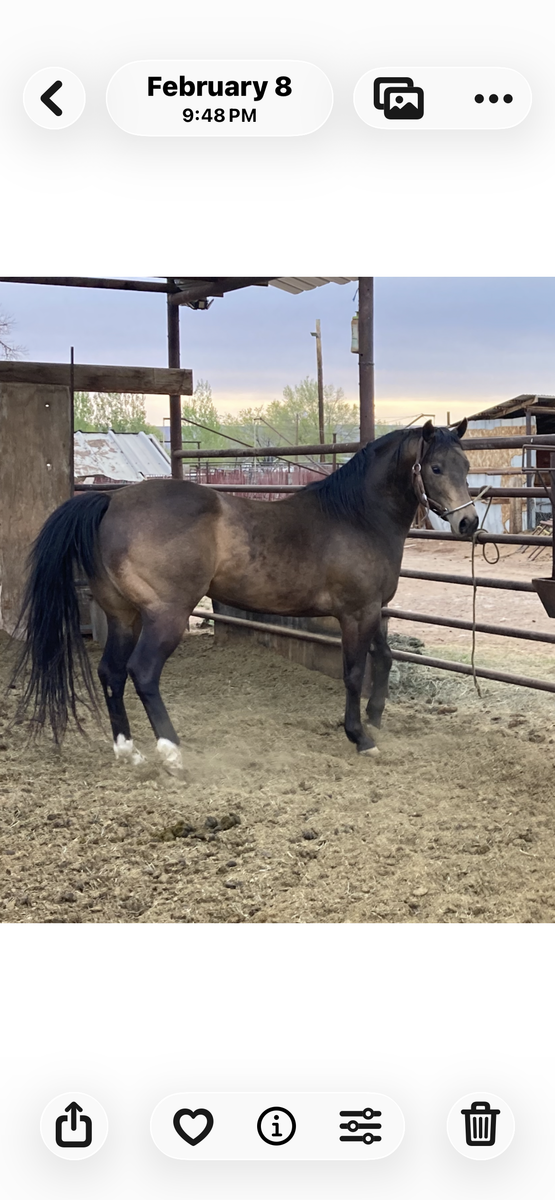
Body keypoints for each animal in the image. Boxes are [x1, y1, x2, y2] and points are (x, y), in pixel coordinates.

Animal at [12, 419, 477, 772]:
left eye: (466, 464)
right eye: (436, 468)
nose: (469, 523)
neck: (357, 517)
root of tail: (110, 503)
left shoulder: (373, 609)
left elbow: (384, 658)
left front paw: (375, 719)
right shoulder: (356, 613)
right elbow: (353, 673)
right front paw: (360, 737)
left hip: (125, 615)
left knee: (110, 672)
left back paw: (129, 751)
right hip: (166, 616)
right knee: (142, 673)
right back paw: (172, 753)